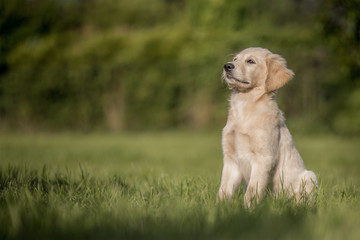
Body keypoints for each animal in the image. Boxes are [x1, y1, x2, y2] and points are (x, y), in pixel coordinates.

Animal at [218, 47, 316, 208]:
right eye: (235, 59)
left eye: (250, 61)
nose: (227, 66)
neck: (245, 106)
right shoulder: (231, 158)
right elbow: (224, 189)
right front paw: (219, 208)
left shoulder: (264, 158)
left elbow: (252, 190)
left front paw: (247, 210)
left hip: (309, 176)